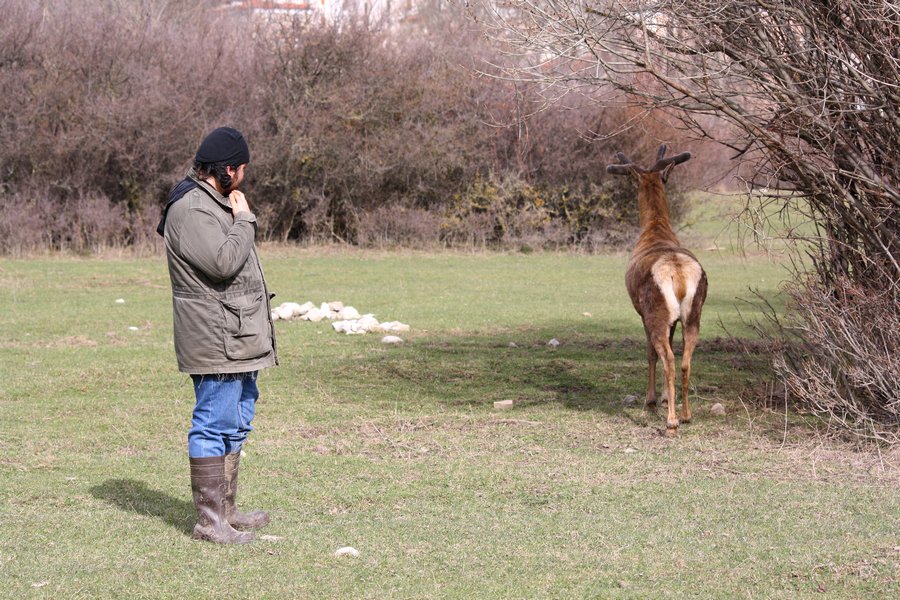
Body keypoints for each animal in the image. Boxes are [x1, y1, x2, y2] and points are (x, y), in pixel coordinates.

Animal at [608, 145, 708, 436]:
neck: (654, 230)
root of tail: (678, 273)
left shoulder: (641, 312)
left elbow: (650, 353)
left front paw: (651, 400)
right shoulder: (674, 319)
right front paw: (664, 398)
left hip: (656, 310)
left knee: (668, 358)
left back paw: (671, 421)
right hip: (693, 312)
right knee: (684, 359)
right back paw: (686, 414)